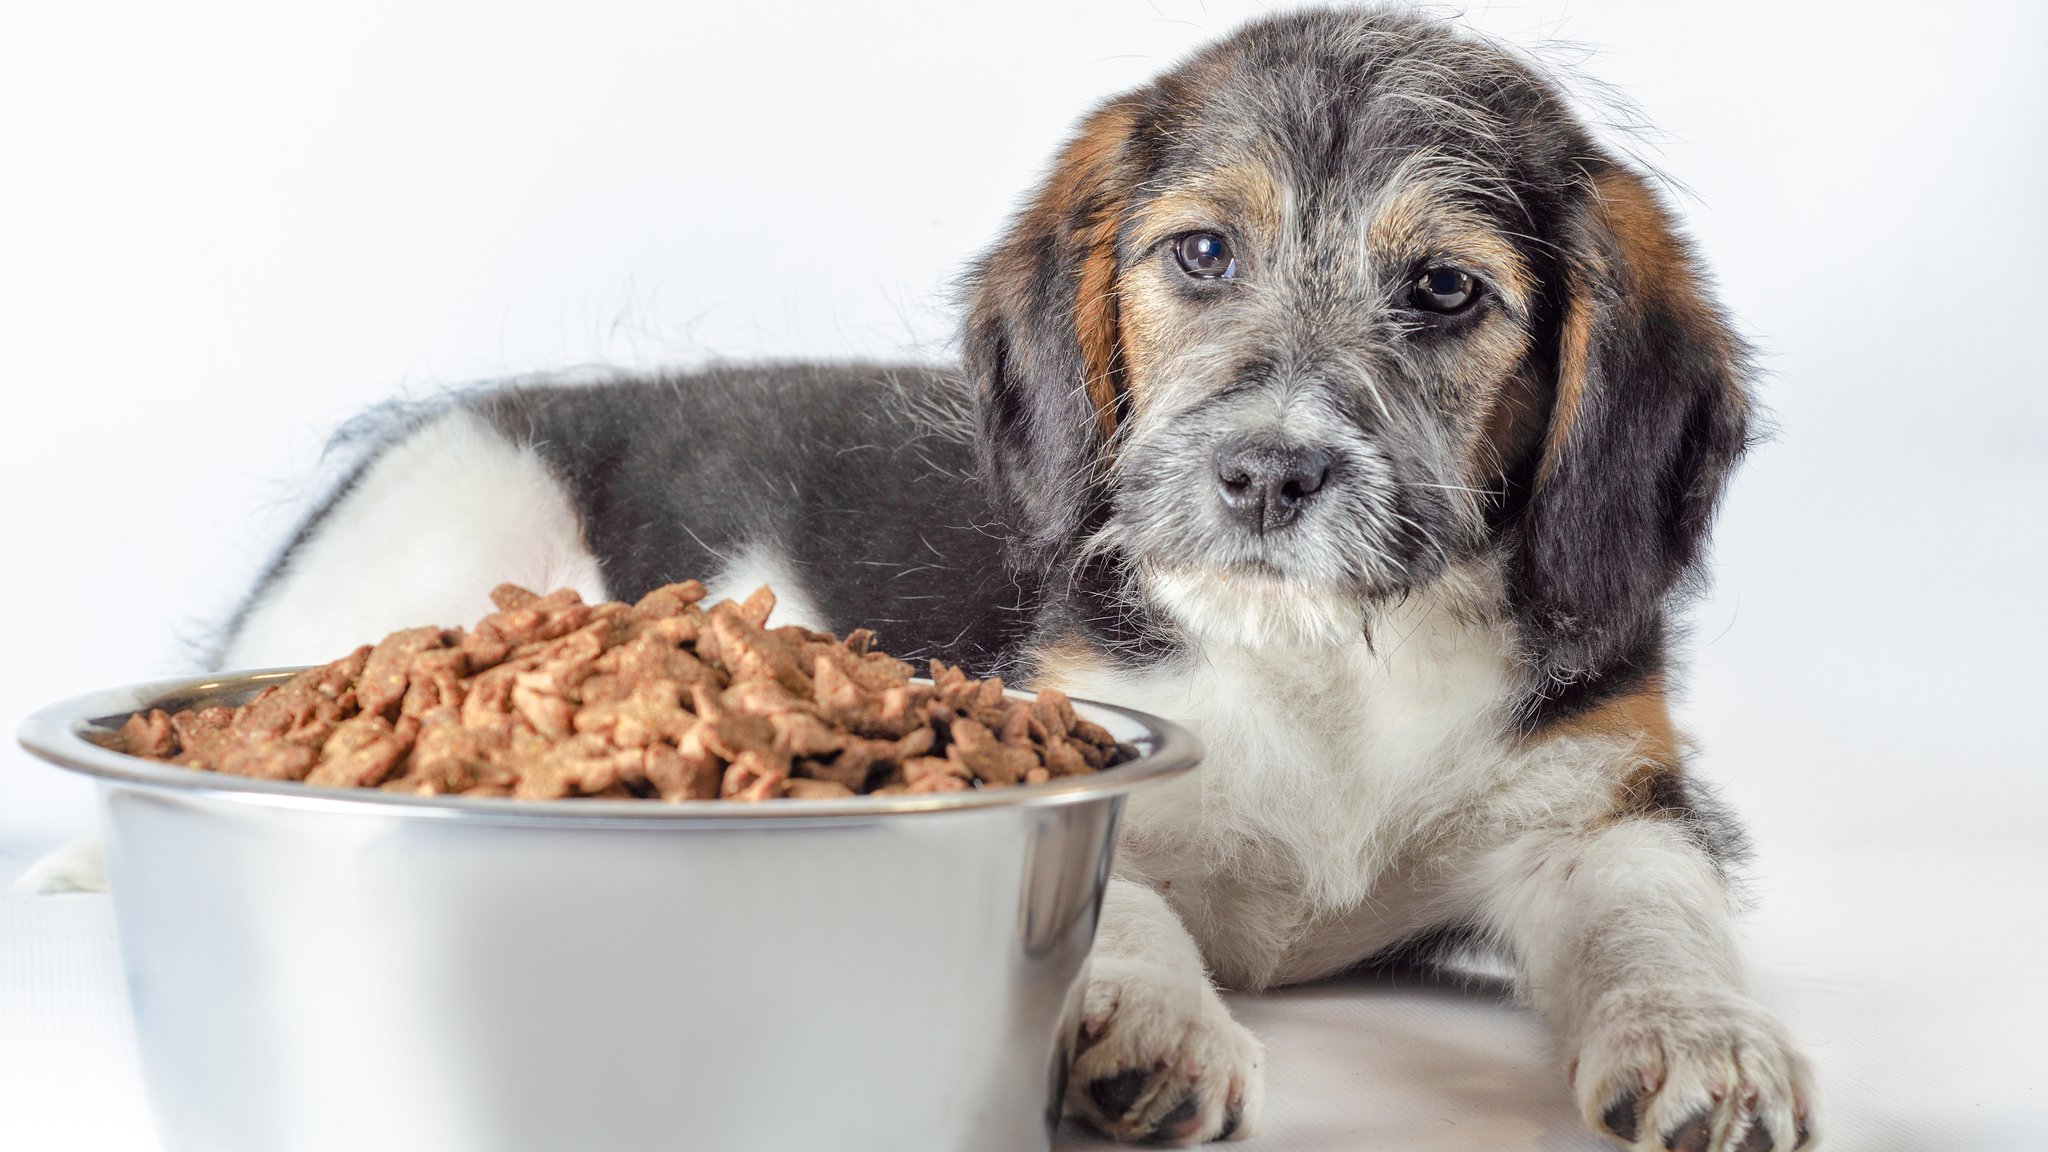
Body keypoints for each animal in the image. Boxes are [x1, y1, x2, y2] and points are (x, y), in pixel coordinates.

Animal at [39, 8, 1818, 1147]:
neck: (1327, 652)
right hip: (430, 537)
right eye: (1203, 254)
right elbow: (1133, 919)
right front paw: (1153, 1031)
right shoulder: (1109, 767)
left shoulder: (1607, 811)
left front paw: (1713, 1047)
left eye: (1445, 289)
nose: (1264, 475)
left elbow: (1658, 922)